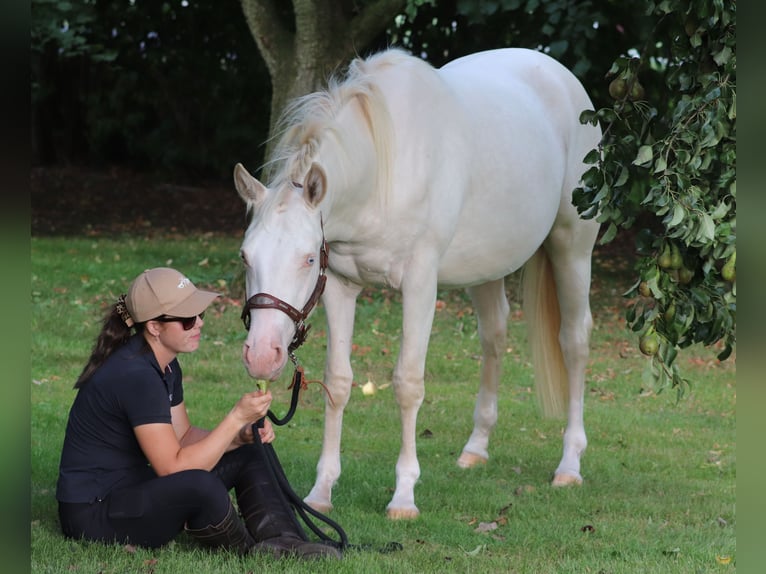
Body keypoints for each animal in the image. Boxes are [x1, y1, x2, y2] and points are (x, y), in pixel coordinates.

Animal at [233, 47, 601, 520]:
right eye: (246, 256)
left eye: (308, 257)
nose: (262, 355)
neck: (383, 172)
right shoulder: (340, 286)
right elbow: (338, 382)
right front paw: (322, 489)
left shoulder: (421, 284)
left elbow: (408, 384)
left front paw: (404, 495)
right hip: (486, 266)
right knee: (494, 336)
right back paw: (476, 448)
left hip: (572, 247)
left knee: (573, 341)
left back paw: (570, 463)